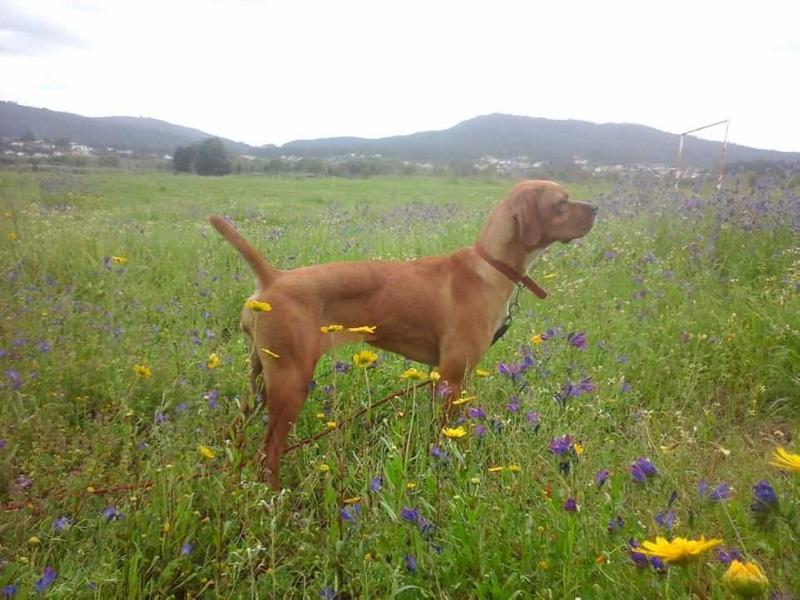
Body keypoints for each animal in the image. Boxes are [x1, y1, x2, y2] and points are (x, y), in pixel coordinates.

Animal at [209, 178, 596, 488]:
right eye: (561, 202)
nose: (596, 208)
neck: (491, 264)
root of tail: (272, 278)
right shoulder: (453, 377)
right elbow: (447, 434)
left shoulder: (441, 375)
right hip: (290, 384)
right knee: (269, 452)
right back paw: (275, 495)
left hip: (259, 381)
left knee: (237, 434)